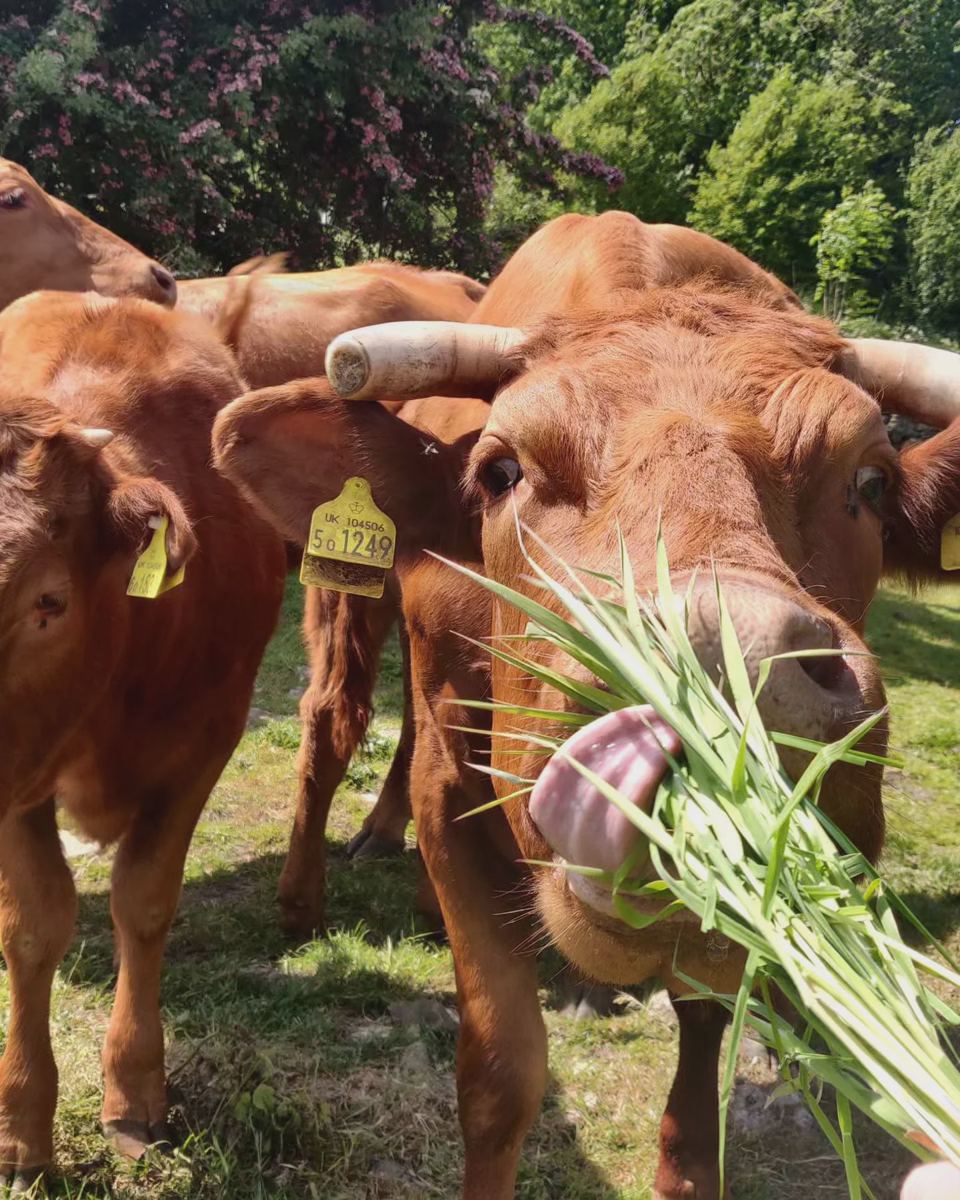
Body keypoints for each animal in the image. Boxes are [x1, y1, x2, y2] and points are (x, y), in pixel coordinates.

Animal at [0, 290, 286, 1188]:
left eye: (48, 602)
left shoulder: (205, 744)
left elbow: (145, 902)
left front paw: (133, 1092)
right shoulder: (16, 781)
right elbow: (34, 924)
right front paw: (22, 1127)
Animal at [211, 210, 960, 1198]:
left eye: (871, 483)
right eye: (500, 471)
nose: (733, 669)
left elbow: (697, 1084)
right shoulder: (452, 790)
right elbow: (500, 1076)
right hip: (346, 595)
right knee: (334, 720)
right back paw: (305, 902)